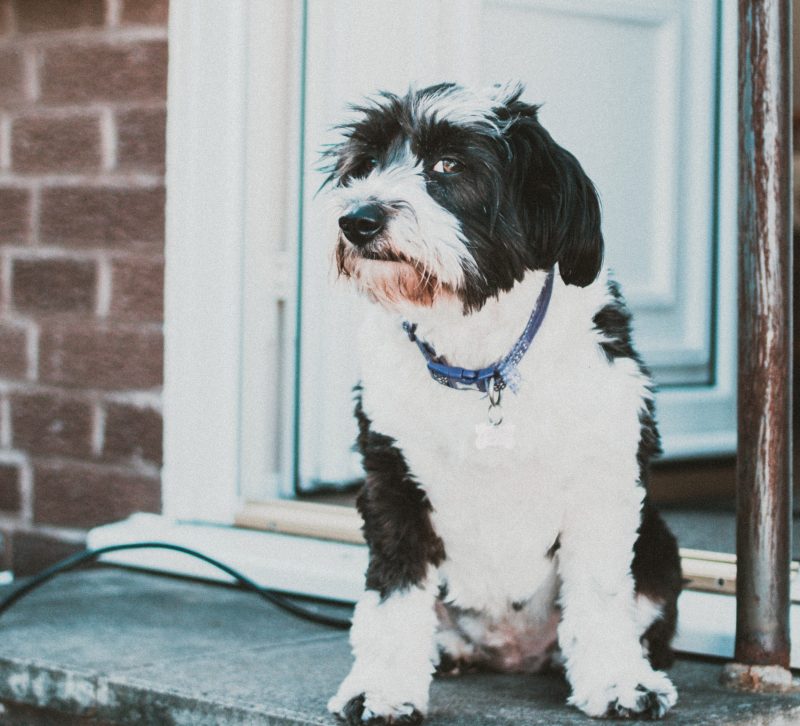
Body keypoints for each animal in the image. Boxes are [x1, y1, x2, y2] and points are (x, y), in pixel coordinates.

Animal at [324, 82, 680, 724]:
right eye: (365, 164)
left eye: (448, 165)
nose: (357, 219)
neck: (480, 357)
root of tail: (513, 654)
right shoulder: (392, 483)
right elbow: (393, 595)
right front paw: (382, 688)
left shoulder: (605, 477)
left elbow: (601, 588)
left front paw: (619, 682)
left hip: (662, 548)